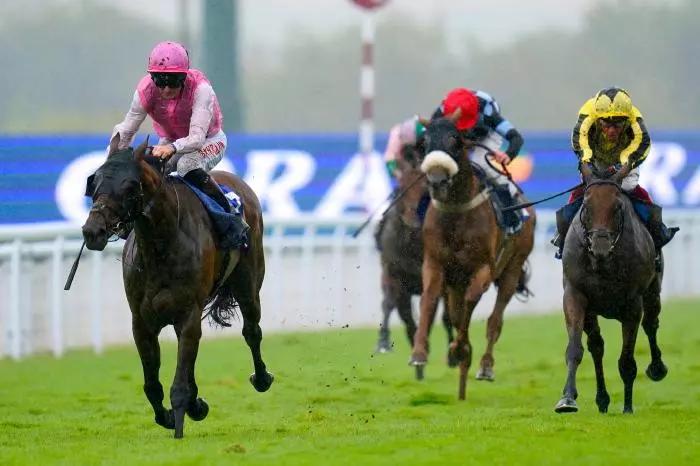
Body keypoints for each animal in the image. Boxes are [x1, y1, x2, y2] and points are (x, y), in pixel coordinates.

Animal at [82, 134, 274, 436]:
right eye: (95, 182)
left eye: (130, 186)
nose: (93, 231)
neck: (160, 246)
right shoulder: (142, 322)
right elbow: (152, 385)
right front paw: (173, 415)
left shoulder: (188, 314)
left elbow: (179, 385)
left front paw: (181, 425)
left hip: (249, 283)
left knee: (252, 330)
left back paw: (262, 377)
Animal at [372, 142, 454, 372]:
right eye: (401, 186)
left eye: (425, 187)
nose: (411, 220)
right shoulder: (393, 273)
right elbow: (393, 306)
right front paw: (385, 342)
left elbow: (437, 314)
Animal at [408, 110, 532, 400]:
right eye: (424, 142)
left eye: (455, 139)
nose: (437, 179)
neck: (456, 211)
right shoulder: (436, 264)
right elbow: (429, 300)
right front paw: (420, 353)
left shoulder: (482, 269)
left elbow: (471, 304)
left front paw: (460, 349)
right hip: (455, 282)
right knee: (456, 313)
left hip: (512, 268)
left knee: (495, 320)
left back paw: (484, 366)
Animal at [552, 164, 668, 416]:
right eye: (586, 207)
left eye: (618, 207)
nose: (600, 247)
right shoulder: (575, 294)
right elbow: (575, 349)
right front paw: (567, 399)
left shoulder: (632, 303)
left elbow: (627, 360)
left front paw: (627, 407)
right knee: (597, 346)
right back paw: (602, 400)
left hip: (652, 292)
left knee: (651, 325)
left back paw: (657, 368)